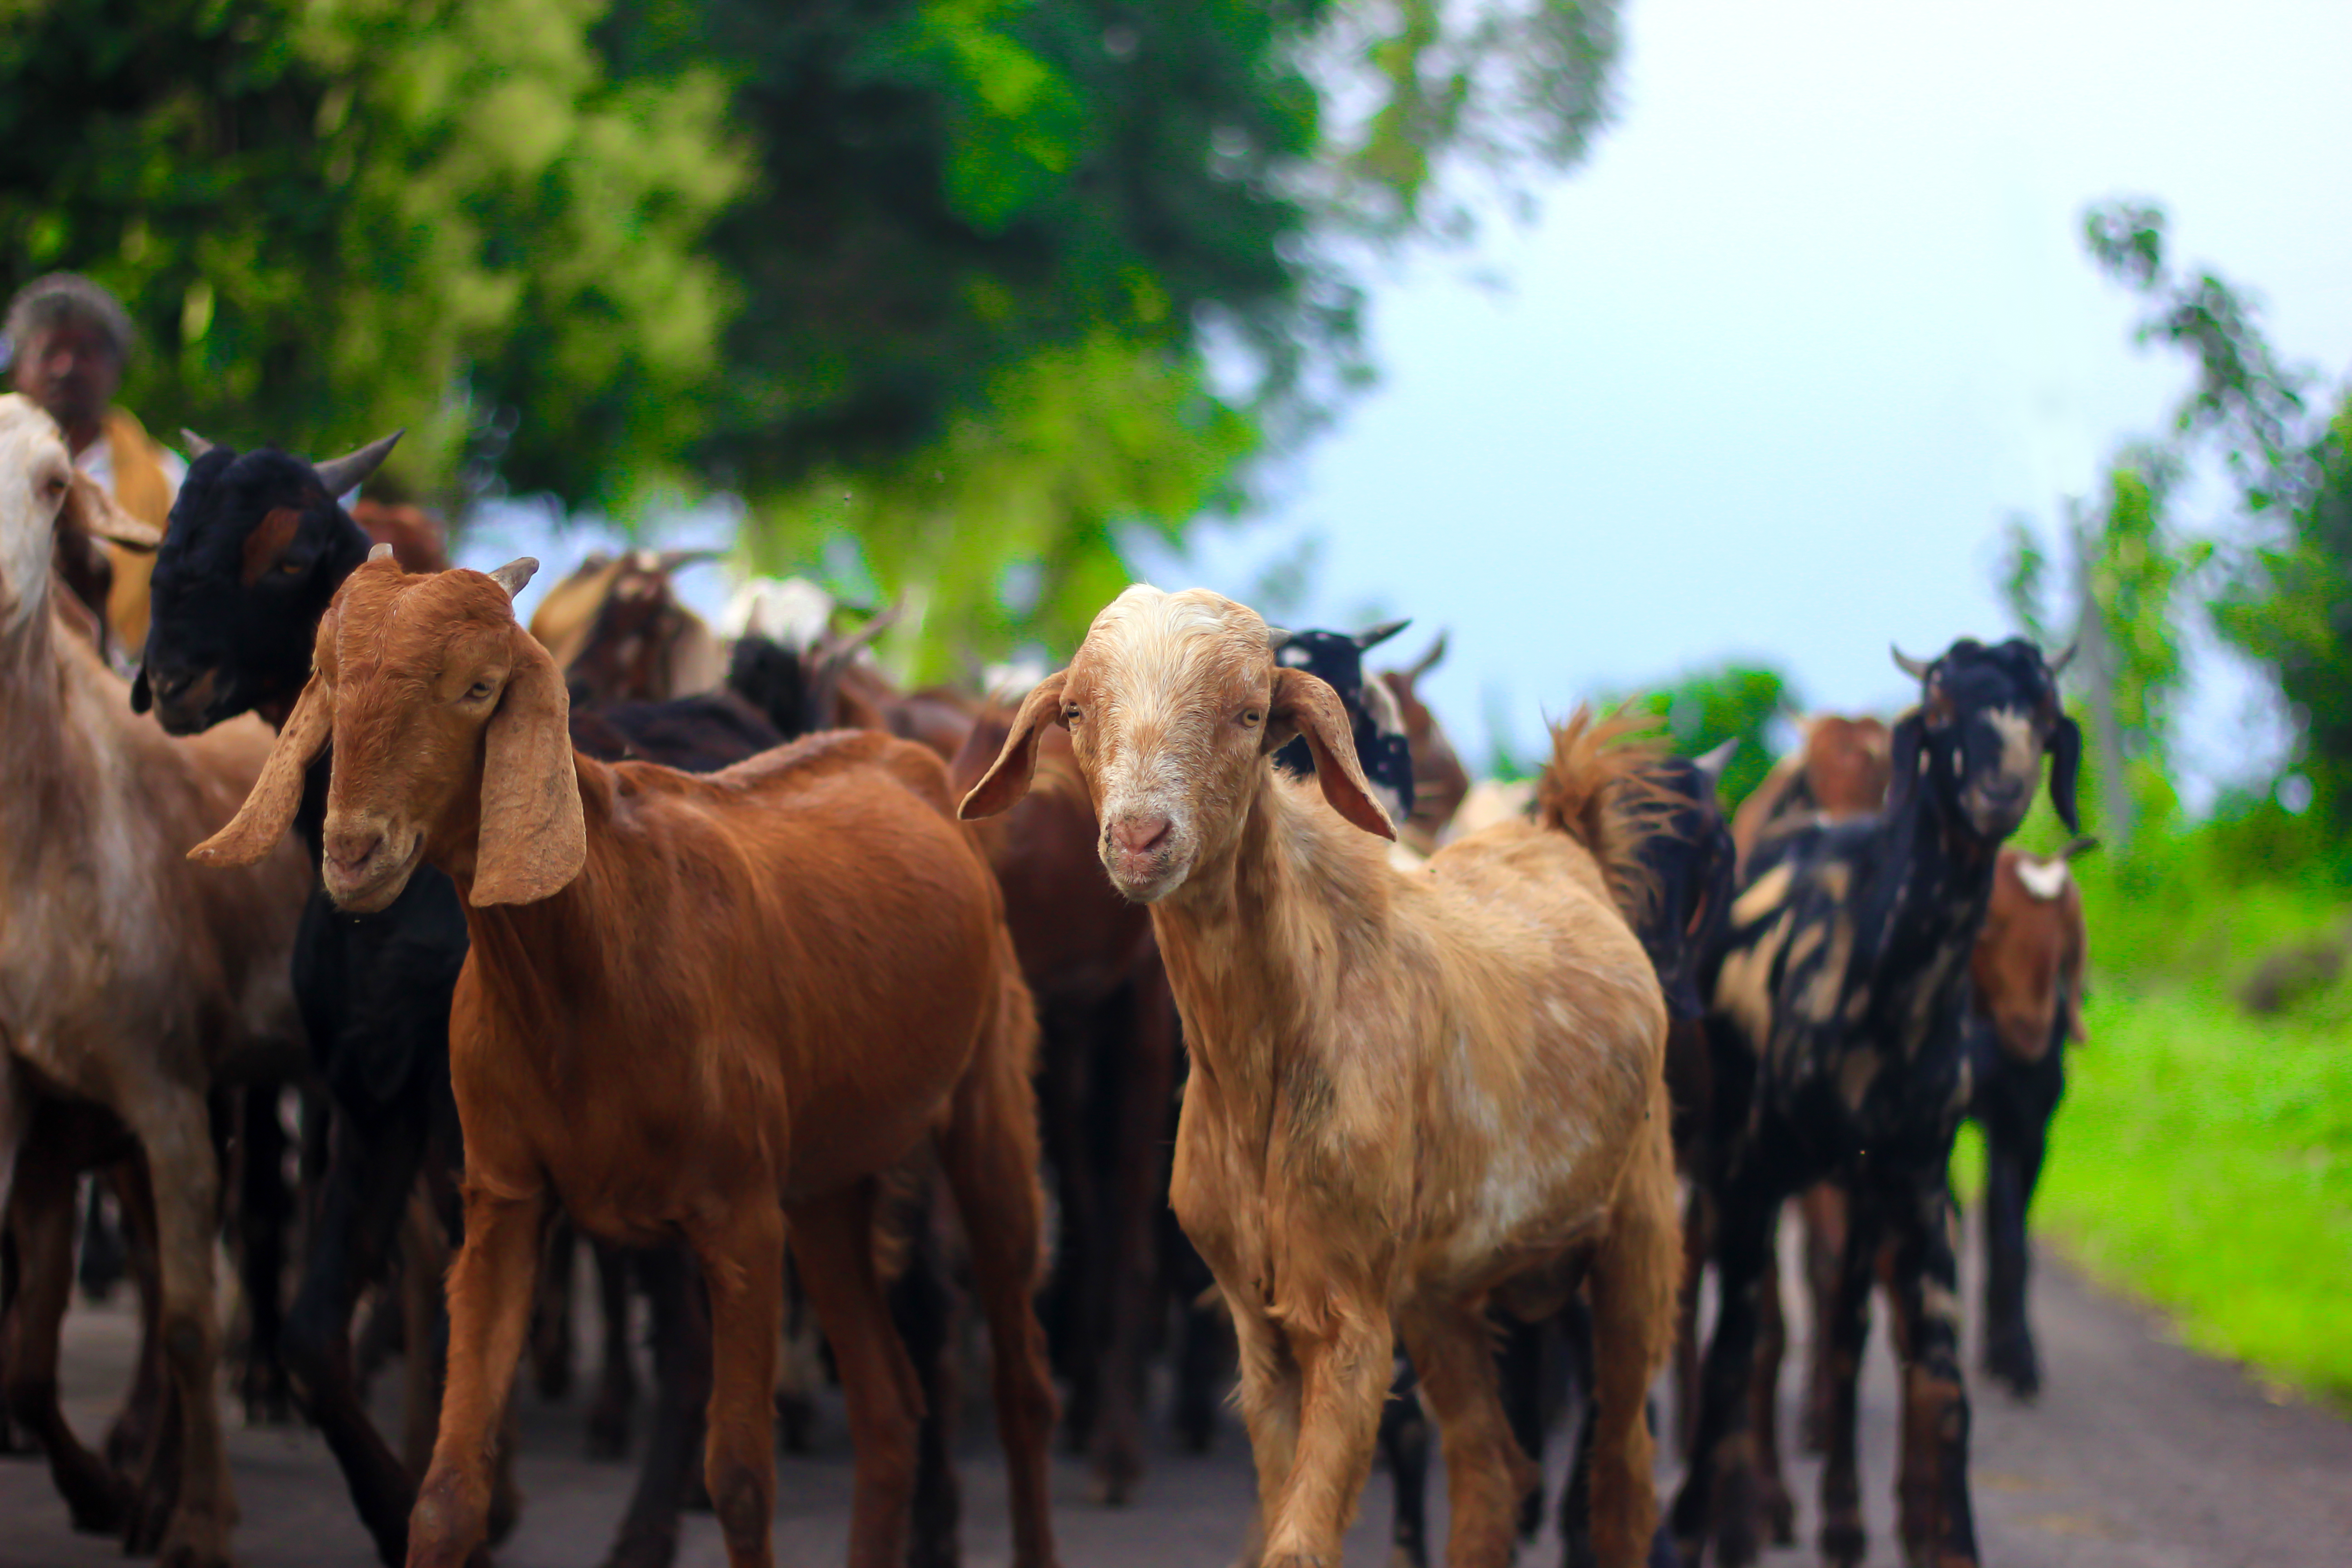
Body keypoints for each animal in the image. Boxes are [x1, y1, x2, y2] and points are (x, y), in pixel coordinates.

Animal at [0, 393, 313, 1568]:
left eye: (55, 485)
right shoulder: (31, 1099)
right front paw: (115, 1489)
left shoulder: (165, 1080)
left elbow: (182, 1318)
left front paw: (198, 1521)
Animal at [192, 553, 1061, 1568]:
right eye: (328, 678)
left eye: (479, 688)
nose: (355, 850)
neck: (598, 946)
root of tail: (910, 764)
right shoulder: (502, 1195)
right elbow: (448, 1490)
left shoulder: (738, 1216)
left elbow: (741, 1479)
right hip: (827, 1181)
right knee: (890, 1408)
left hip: (986, 1111)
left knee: (1021, 1386)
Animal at [962, 585, 1679, 1568]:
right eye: (1075, 711)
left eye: (1249, 712)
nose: (1142, 838)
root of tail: (1566, 844)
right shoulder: (1258, 1325)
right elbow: (1281, 1506)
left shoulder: (1351, 1317)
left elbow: (1300, 1541)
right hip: (1441, 1292)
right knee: (1491, 1469)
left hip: (1638, 1236)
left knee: (1622, 1479)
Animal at [1674, 638, 2079, 1568]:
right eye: (1941, 711)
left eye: (2043, 714)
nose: (2000, 790)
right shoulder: (1757, 1172)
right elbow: (1743, 1346)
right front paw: (1718, 1521)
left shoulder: (1909, 1175)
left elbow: (1925, 1365)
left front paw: (1919, 1530)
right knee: (1719, 1313)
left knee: (1841, 1325)